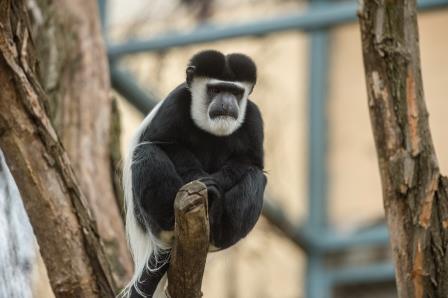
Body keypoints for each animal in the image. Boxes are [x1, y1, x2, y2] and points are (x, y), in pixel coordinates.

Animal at [122, 50, 266, 296]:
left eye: (236, 92)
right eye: (215, 90)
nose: (227, 104)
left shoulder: (254, 117)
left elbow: (251, 162)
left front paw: (215, 185)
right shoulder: (176, 101)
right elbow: (164, 142)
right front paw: (204, 183)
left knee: (257, 178)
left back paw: (218, 227)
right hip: (149, 220)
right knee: (146, 151)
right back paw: (170, 222)